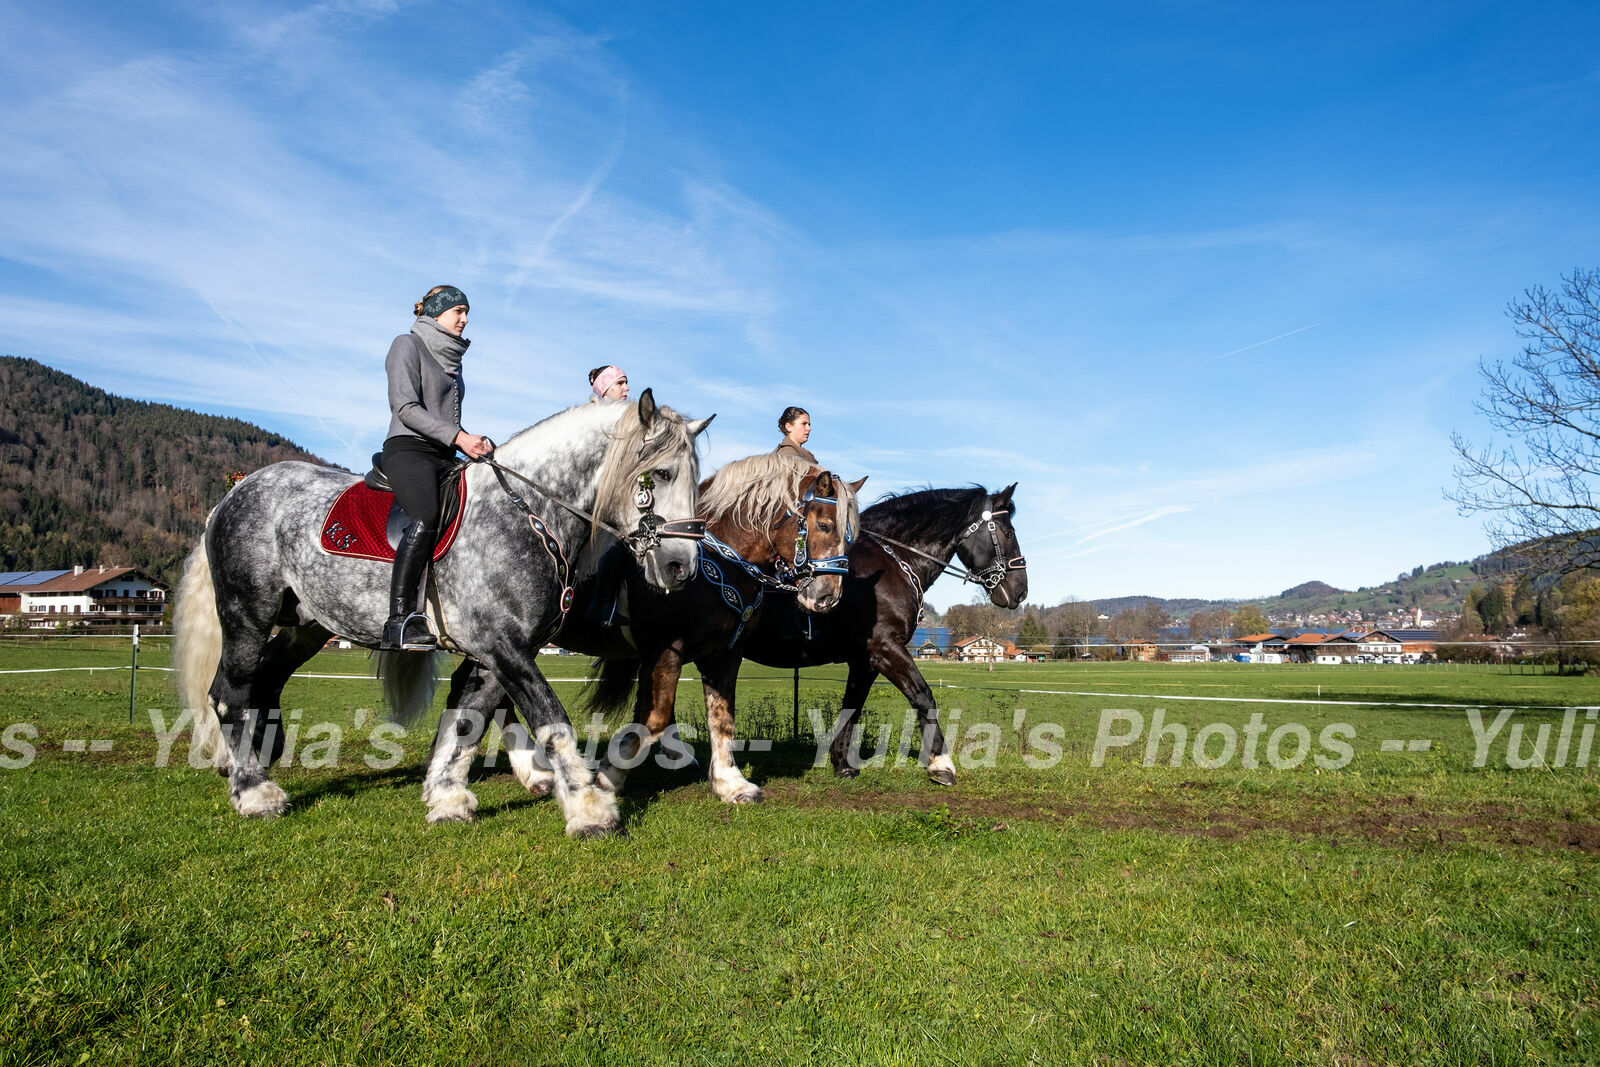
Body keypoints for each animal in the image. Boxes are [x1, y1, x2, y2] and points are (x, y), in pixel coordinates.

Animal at [739, 483, 1024, 783]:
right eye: (1008, 532)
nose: (1021, 589)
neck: (892, 563)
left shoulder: (865, 661)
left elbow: (852, 706)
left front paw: (842, 764)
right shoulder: (885, 648)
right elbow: (923, 696)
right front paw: (941, 763)